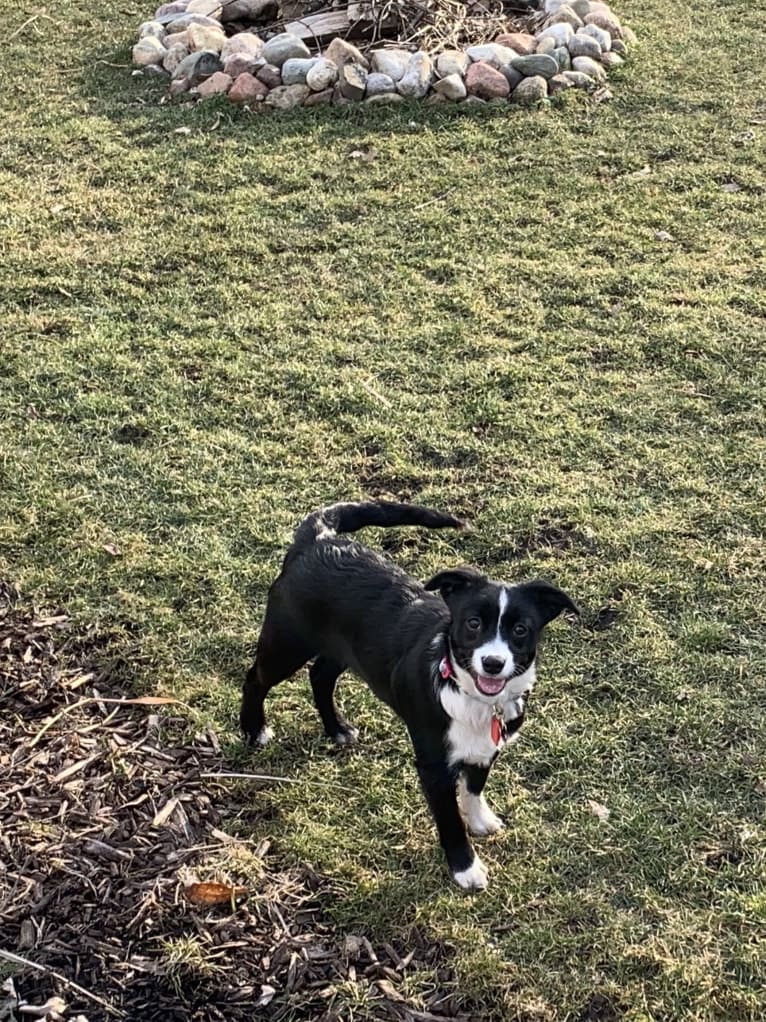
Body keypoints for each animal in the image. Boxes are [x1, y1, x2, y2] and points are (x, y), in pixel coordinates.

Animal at [243, 498, 580, 891]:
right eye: (473, 623)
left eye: (521, 629)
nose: (493, 663)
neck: (469, 696)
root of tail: (318, 538)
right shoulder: (434, 768)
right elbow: (450, 822)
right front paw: (466, 869)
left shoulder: (486, 748)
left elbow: (474, 787)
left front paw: (480, 819)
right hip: (286, 644)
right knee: (255, 679)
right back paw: (253, 729)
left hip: (345, 650)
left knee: (320, 675)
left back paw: (337, 728)